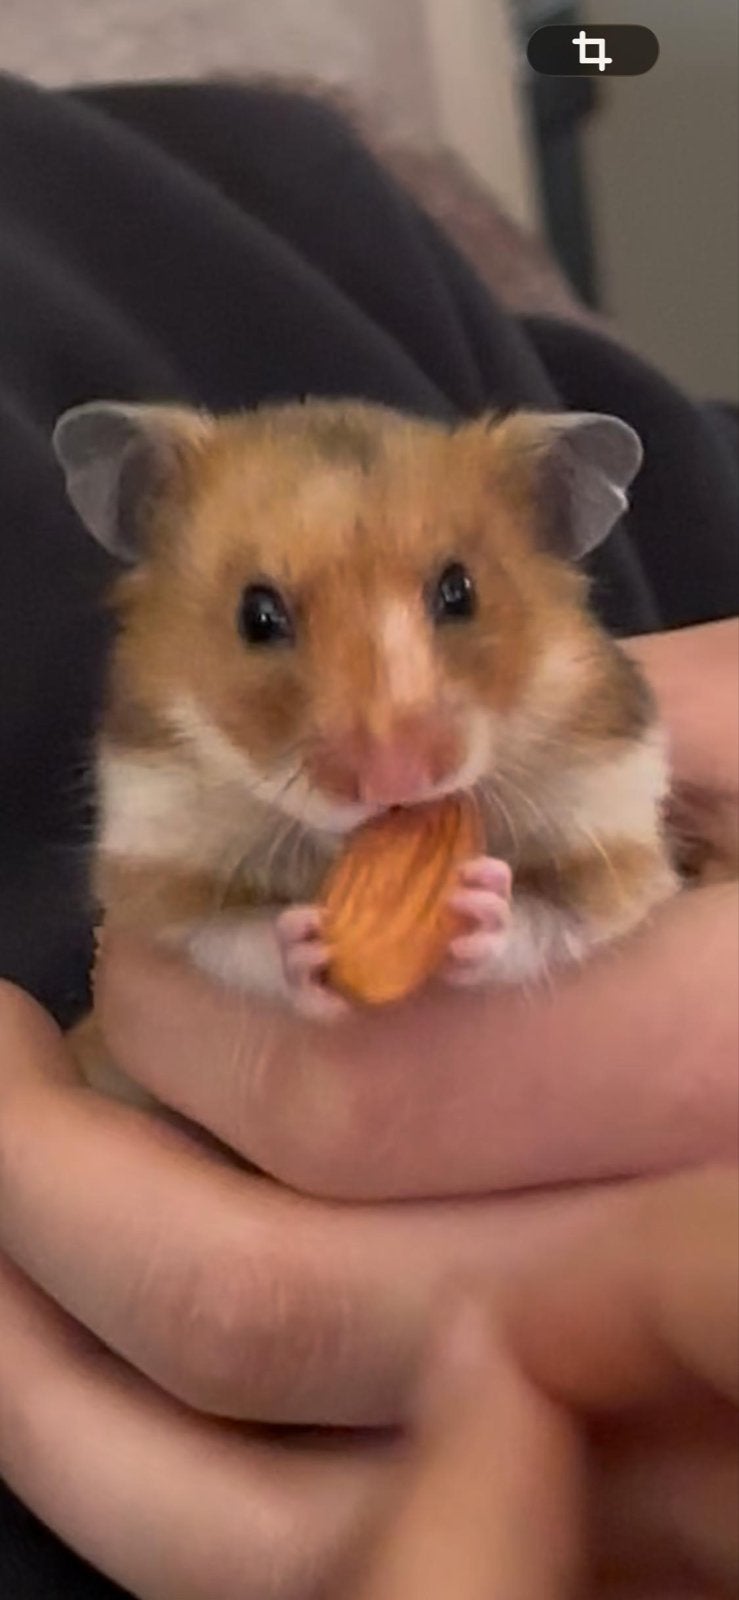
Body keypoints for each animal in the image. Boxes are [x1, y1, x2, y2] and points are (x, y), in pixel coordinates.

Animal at [53, 398, 677, 1094]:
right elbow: (228, 934)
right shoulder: (157, 864)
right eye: (256, 615)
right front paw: (303, 945)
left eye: (460, 590)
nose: (394, 780)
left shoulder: (617, 838)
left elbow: (560, 917)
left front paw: (480, 902)